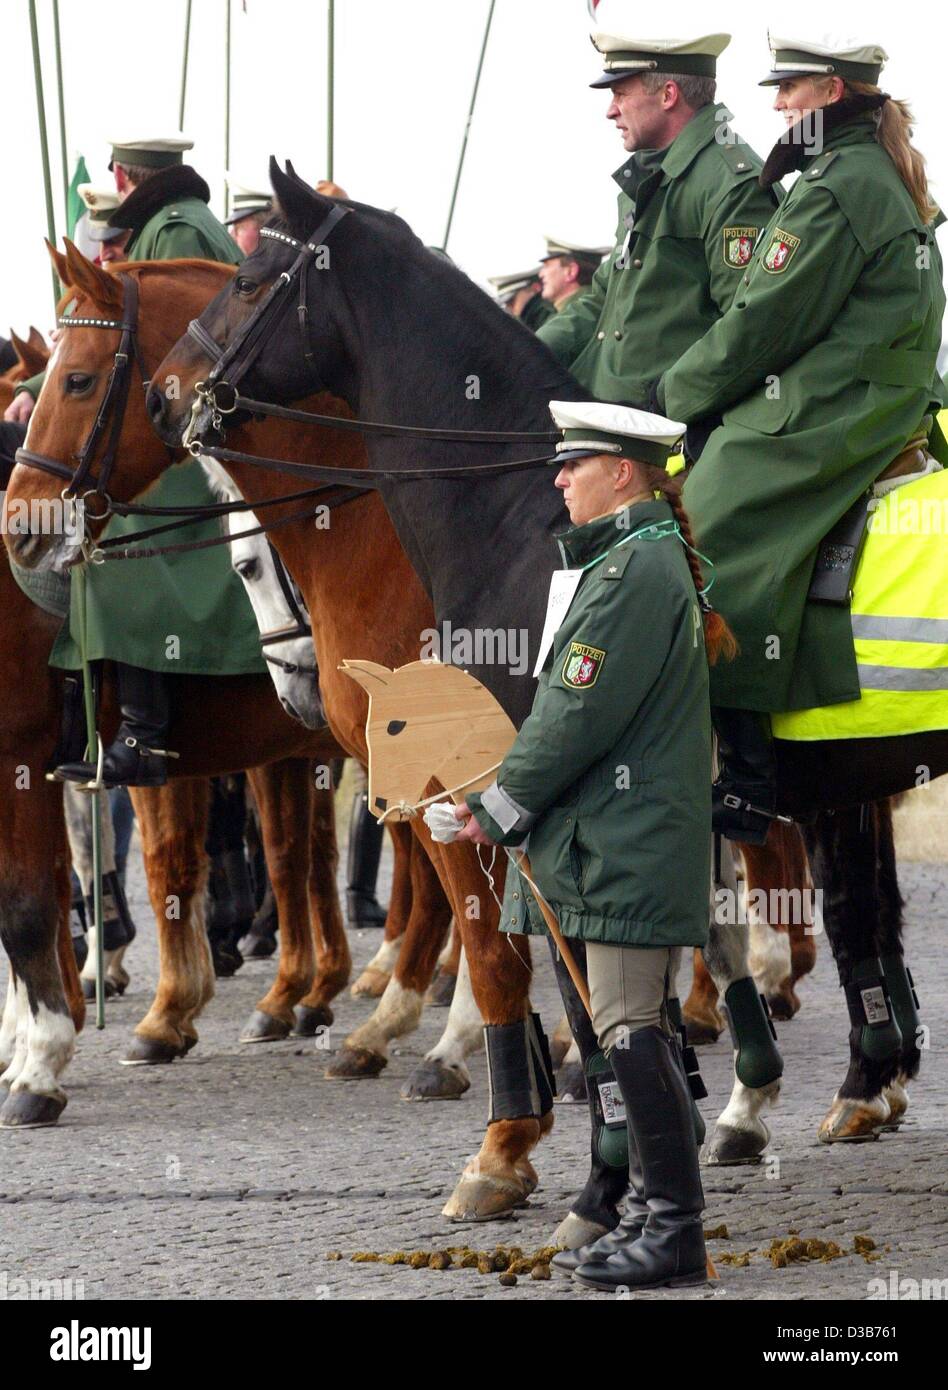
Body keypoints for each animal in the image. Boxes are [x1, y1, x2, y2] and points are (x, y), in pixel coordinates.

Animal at [147, 162, 939, 1239]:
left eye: (249, 274)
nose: (166, 391)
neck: (523, 522)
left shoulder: (535, 809)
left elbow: (543, 982)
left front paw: (544, 1159)